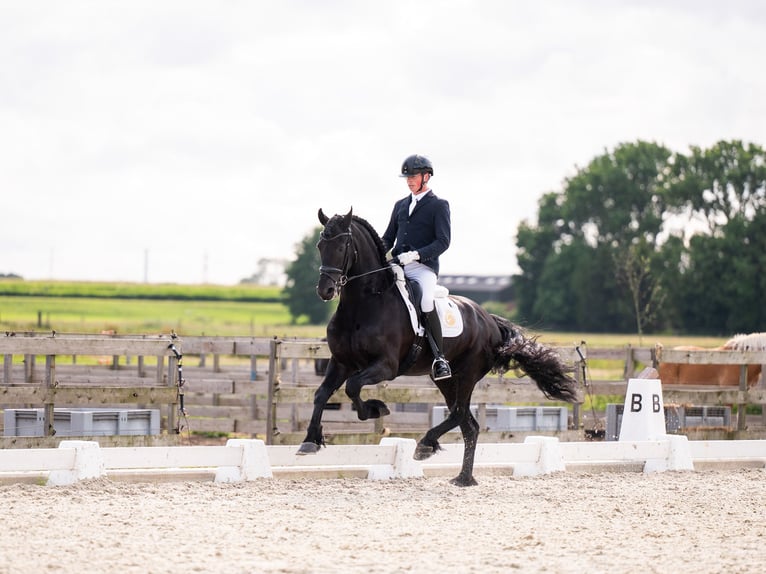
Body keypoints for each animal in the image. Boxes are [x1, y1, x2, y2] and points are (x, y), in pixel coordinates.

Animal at [296, 208, 578, 486]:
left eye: (342, 246)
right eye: (320, 245)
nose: (325, 290)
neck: (364, 304)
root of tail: (489, 319)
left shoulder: (385, 366)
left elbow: (353, 387)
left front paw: (376, 408)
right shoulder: (341, 362)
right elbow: (321, 394)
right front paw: (310, 441)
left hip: (467, 374)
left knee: (458, 414)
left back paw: (426, 445)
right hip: (446, 379)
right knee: (469, 424)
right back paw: (463, 478)